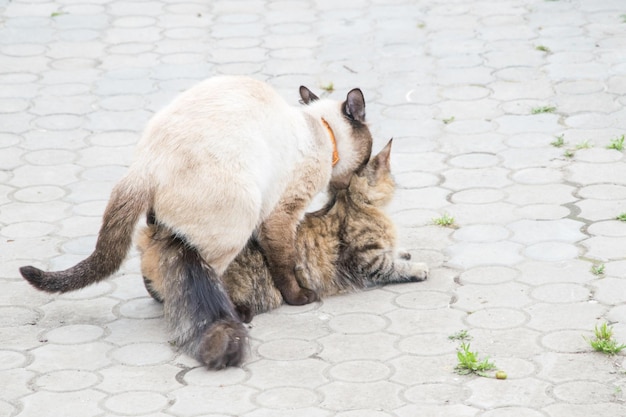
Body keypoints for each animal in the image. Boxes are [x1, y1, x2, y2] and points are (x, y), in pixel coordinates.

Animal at [18, 75, 370, 368]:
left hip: (168, 221)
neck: (319, 128)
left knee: (155, 258)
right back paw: (236, 313)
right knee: (205, 275)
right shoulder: (281, 215)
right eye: (366, 158)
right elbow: (285, 262)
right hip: (239, 219)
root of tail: (143, 166)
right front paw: (297, 298)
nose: (354, 182)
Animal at [138, 140, 426, 324]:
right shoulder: (366, 259)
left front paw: (403, 252)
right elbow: (392, 266)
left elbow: (395, 252)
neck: (353, 204)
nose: (399, 183)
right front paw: (417, 268)